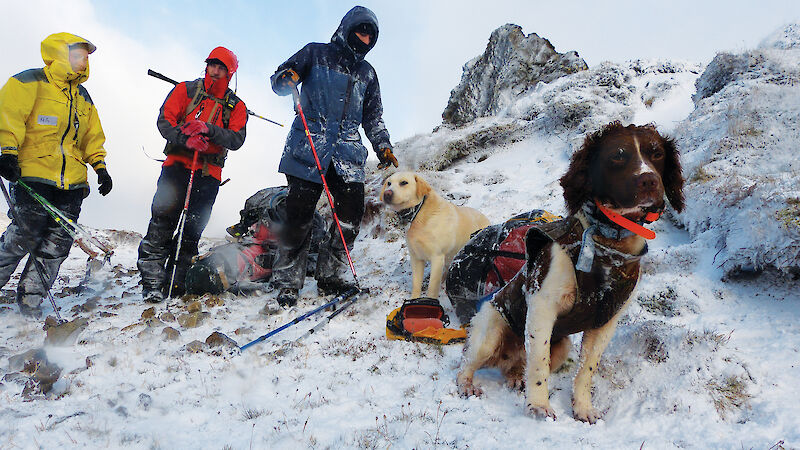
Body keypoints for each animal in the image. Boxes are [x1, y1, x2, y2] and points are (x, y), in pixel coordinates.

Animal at [454, 122, 684, 422]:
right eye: (617, 156)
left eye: (657, 153)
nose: (648, 181)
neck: (608, 244)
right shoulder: (542, 307)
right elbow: (538, 365)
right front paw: (538, 405)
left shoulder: (606, 321)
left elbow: (586, 369)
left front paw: (583, 408)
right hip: (490, 332)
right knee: (468, 364)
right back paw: (467, 385)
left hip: (561, 346)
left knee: (517, 366)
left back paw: (515, 377)